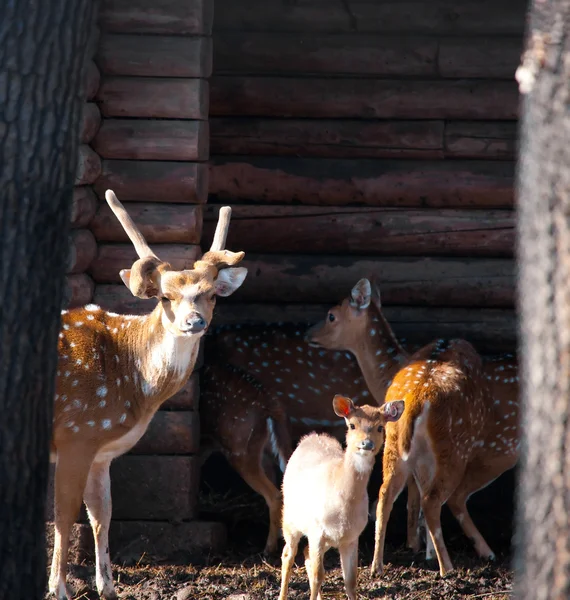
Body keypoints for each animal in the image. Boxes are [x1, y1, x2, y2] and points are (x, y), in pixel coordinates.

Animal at [47, 191, 245, 600]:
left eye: (209, 295)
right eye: (166, 297)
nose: (194, 322)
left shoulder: (101, 450)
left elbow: (102, 514)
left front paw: (108, 587)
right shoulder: (76, 433)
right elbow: (64, 513)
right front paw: (58, 589)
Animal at [276, 394, 402, 600]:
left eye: (380, 427)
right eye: (352, 425)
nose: (366, 444)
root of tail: (311, 437)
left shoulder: (352, 536)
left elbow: (350, 581)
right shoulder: (316, 530)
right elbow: (318, 576)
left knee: (306, 554)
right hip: (290, 518)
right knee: (288, 554)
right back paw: (282, 595)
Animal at [306, 278, 520, 580]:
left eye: (331, 315)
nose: (307, 332)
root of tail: (419, 396)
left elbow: (412, 498)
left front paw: (419, 547)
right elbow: (416, 498)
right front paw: (421, 549)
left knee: (393, 495)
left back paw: (381, 565)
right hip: (470, 448)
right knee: (438, 499)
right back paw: (457, 563)